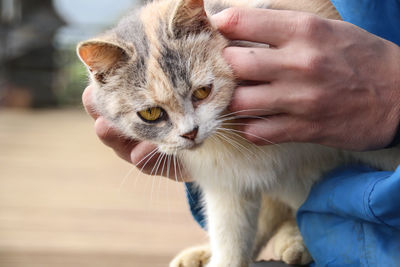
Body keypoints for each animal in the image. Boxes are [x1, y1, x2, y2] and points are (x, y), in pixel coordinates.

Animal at [77, 0, 400, 266]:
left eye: (202, 92)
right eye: (151, 114)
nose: (190, 133)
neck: (232, 139)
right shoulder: (227, 184)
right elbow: (230, 237)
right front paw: (220, 256)